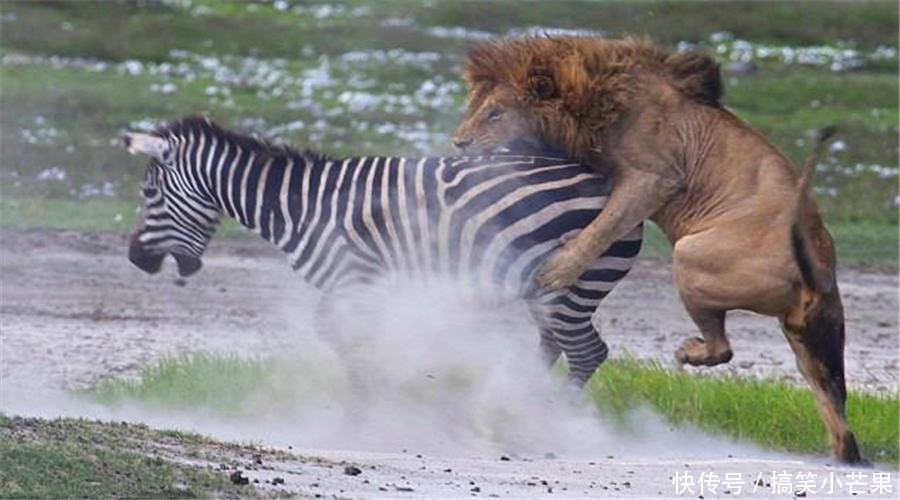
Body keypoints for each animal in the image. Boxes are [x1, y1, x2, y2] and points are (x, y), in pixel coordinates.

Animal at [125, 117, 640, 386]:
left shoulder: (355, 278)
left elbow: (345, 339)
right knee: (555, 346)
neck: (303, 206)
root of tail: (609, 183)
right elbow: (345, 337)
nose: (135, 259)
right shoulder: (359, 288)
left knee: (586, 353)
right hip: (548, 291)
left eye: (149, 193)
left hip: (572, 287)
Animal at [458, 37, 864, 462]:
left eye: (495, 112)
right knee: (834, 404)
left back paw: (688, 353)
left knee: (723, 348)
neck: (594, 98)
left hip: (689, 256)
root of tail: (815, 272)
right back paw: (840, 451)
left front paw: (557, 269)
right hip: (817, 339)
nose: (459, 141)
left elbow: (605, 225)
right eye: (473, 105)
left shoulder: (654, 178)